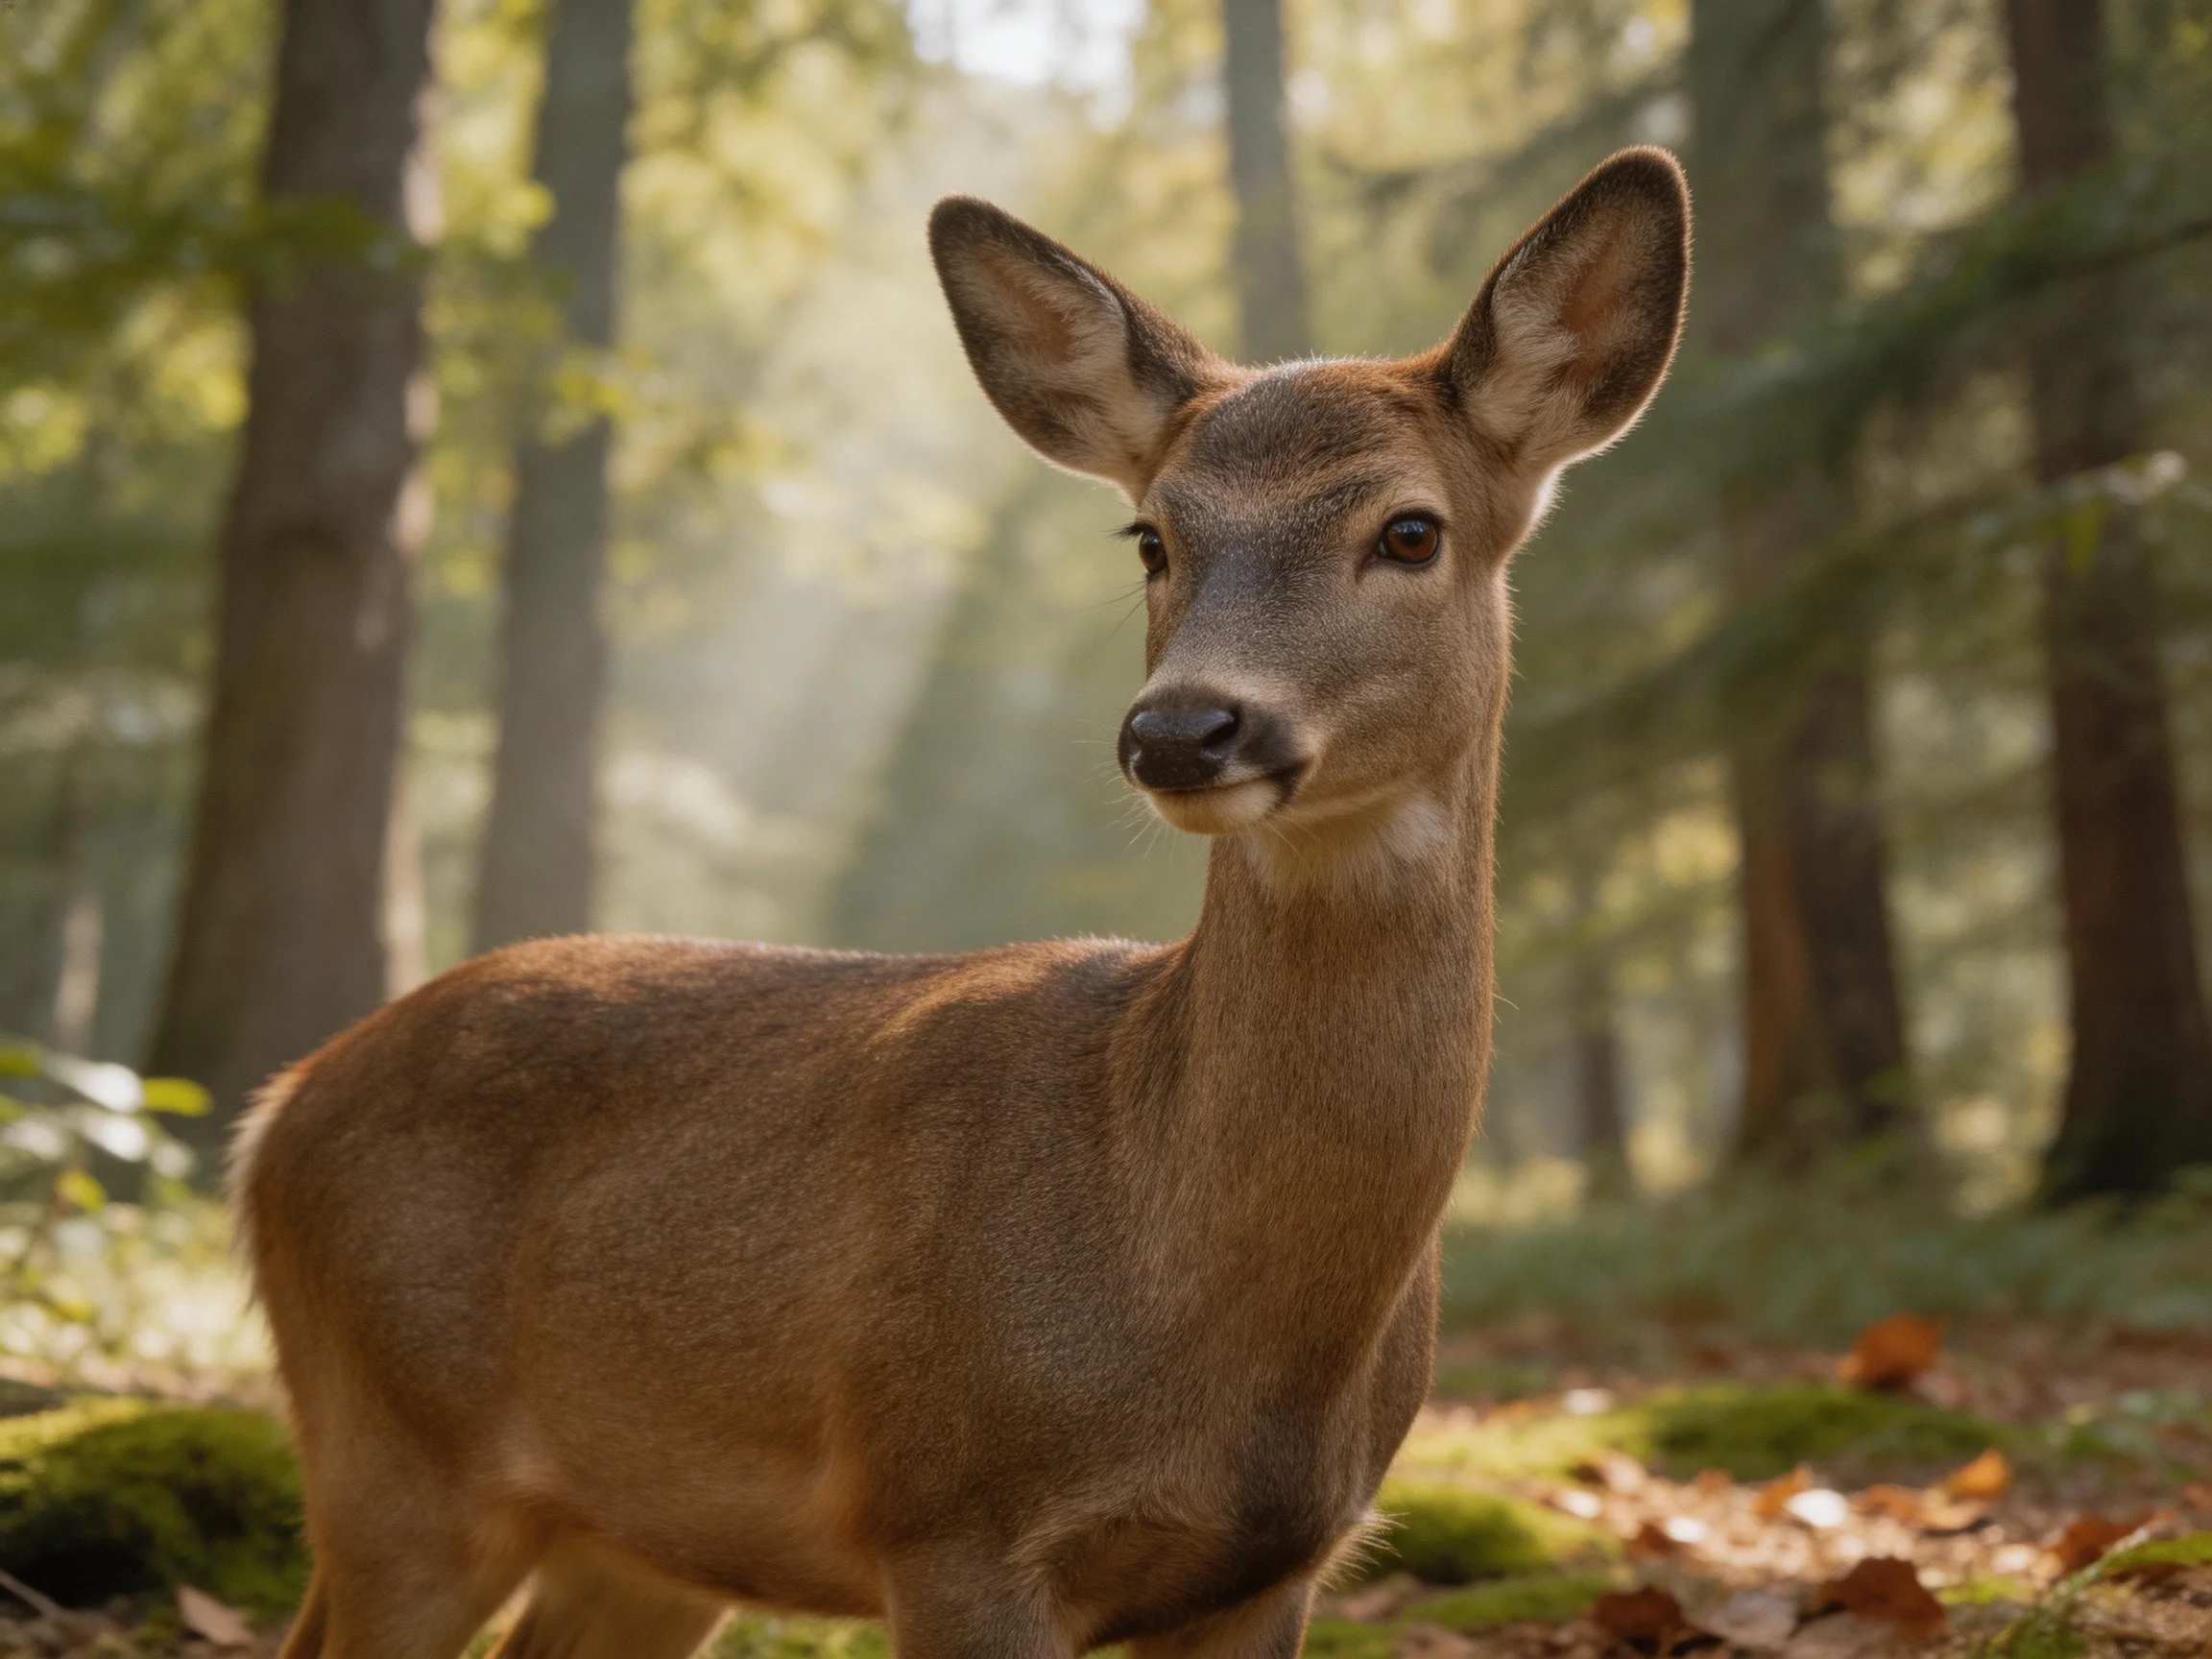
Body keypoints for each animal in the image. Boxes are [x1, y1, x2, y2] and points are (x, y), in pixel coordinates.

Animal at [235, 147, 1689, 1659]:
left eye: (1410, 531)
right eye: (1151, 535)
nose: (1181, 730)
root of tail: (276, 1111)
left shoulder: (1276, 1565)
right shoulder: (941, 1509)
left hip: (633, 1539)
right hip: (394, 1444)